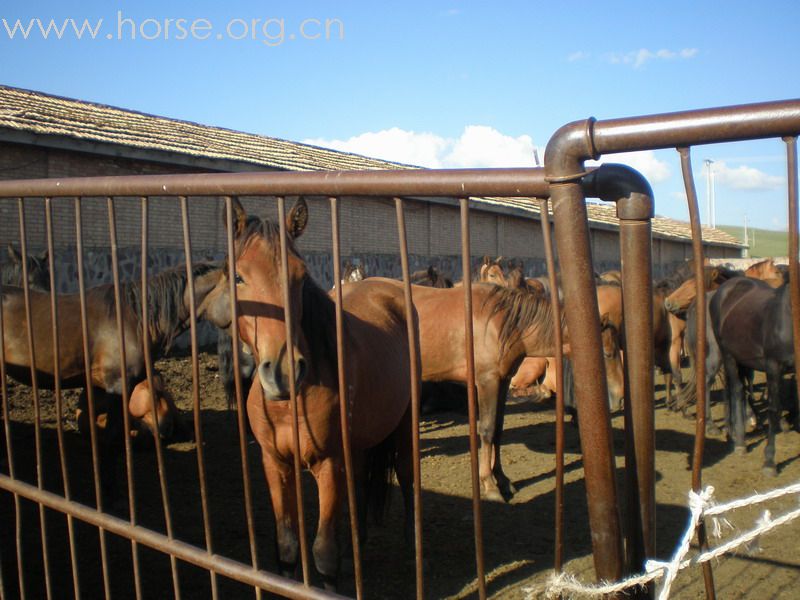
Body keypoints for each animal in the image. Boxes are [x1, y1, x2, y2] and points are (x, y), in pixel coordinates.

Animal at [219, 196, 416, 584]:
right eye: (238, 276)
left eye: (299, 276)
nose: (283, 373)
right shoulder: (275, 463)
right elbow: (287, 547)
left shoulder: (328, 464)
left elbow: (324, 553)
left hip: (402, 427)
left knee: (407, 479)